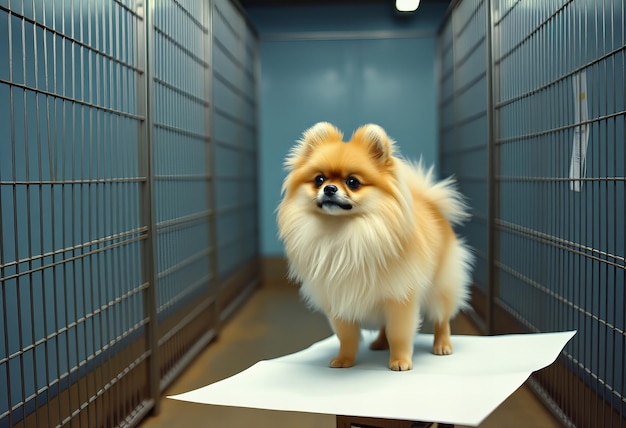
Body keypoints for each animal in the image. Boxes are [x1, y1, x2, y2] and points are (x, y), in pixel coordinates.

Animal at [276, 122, 470, 370]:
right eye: (319, 179)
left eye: (352, 182)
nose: (329, 188)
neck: (343, 233)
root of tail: (431, 203)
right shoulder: (338, 299)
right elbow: (346, 336)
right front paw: (344, 359)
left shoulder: (399, 297)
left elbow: (399, 333)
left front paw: (400, 360)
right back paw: (379, 343)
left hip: (441, 286)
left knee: (442, 318)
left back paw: (442, 345)